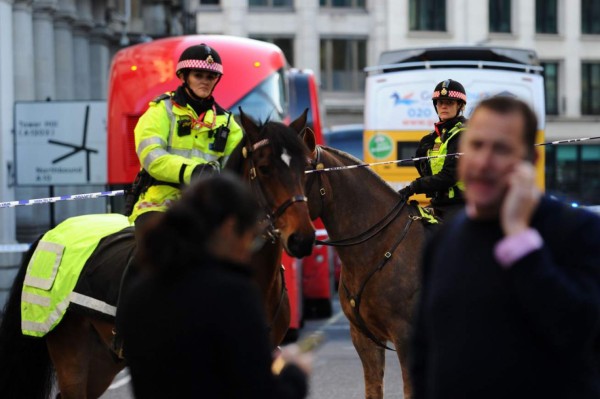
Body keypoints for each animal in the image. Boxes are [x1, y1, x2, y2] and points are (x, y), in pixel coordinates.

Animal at [0, 110, 316, 399]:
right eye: (264, 168)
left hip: (102, 359)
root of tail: (51, 233)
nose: (302, 238)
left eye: (306, 166)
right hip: (70, 351)